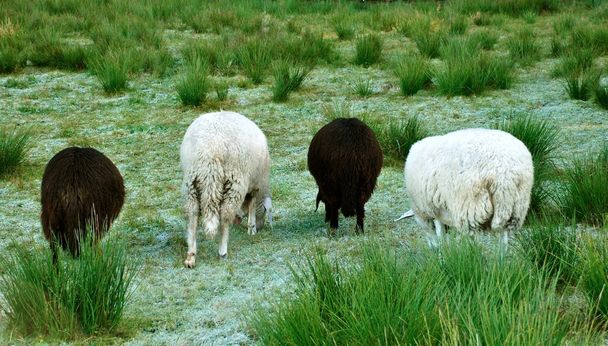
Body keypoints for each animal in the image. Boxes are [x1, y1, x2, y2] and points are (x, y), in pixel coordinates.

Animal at [179, 111, 272, 268]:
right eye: (265, 211)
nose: (261, 227)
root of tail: (210, 150)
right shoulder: (255, 185)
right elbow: (252, 206)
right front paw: (252, 228)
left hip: (191, 182)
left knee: (192, 215)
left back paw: (191, 256)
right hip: (234, 182)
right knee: (225, 215)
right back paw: (222, 251)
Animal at [402, 128, 536, 247]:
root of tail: (504, 174)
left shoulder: (426, 210)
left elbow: (437, 234)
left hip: (470, 210)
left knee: (473, 243)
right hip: (516, 208)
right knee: (504, 240)